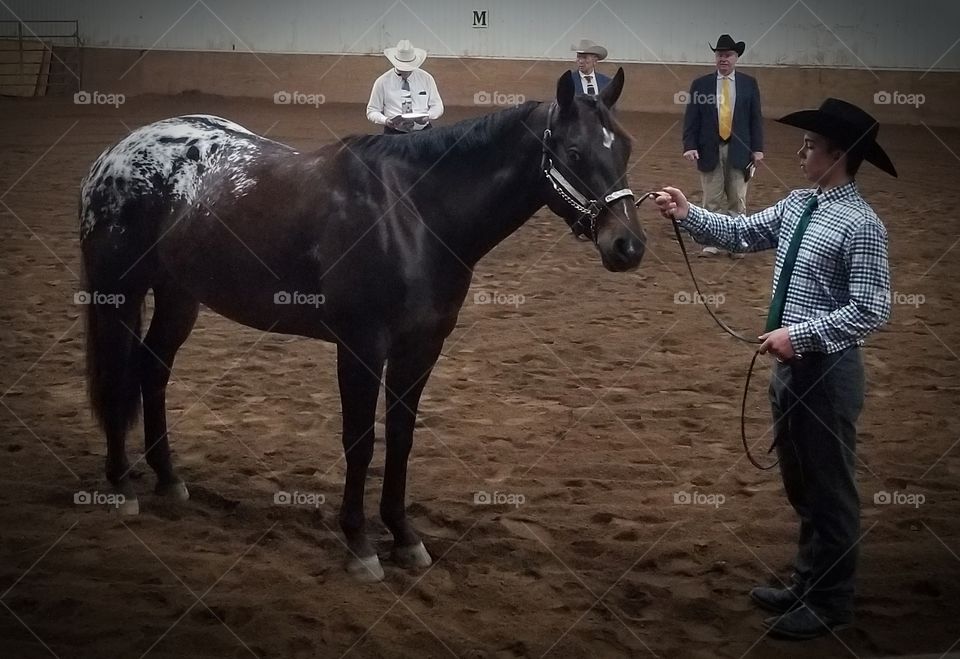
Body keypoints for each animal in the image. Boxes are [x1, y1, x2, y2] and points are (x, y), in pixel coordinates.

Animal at [77, 68, 644, 584]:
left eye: (625, 147)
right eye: (574, 151)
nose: (629, 246)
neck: (412, 215)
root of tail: (116, 153)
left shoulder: (421, 348)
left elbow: (401, 437)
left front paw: (405, 537)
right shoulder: (361, 347)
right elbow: (360, 440)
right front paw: (360, 545)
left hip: (180, 297)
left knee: (152, 371)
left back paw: (169, 480)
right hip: (119, 293)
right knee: (121, 377)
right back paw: (122, 487)